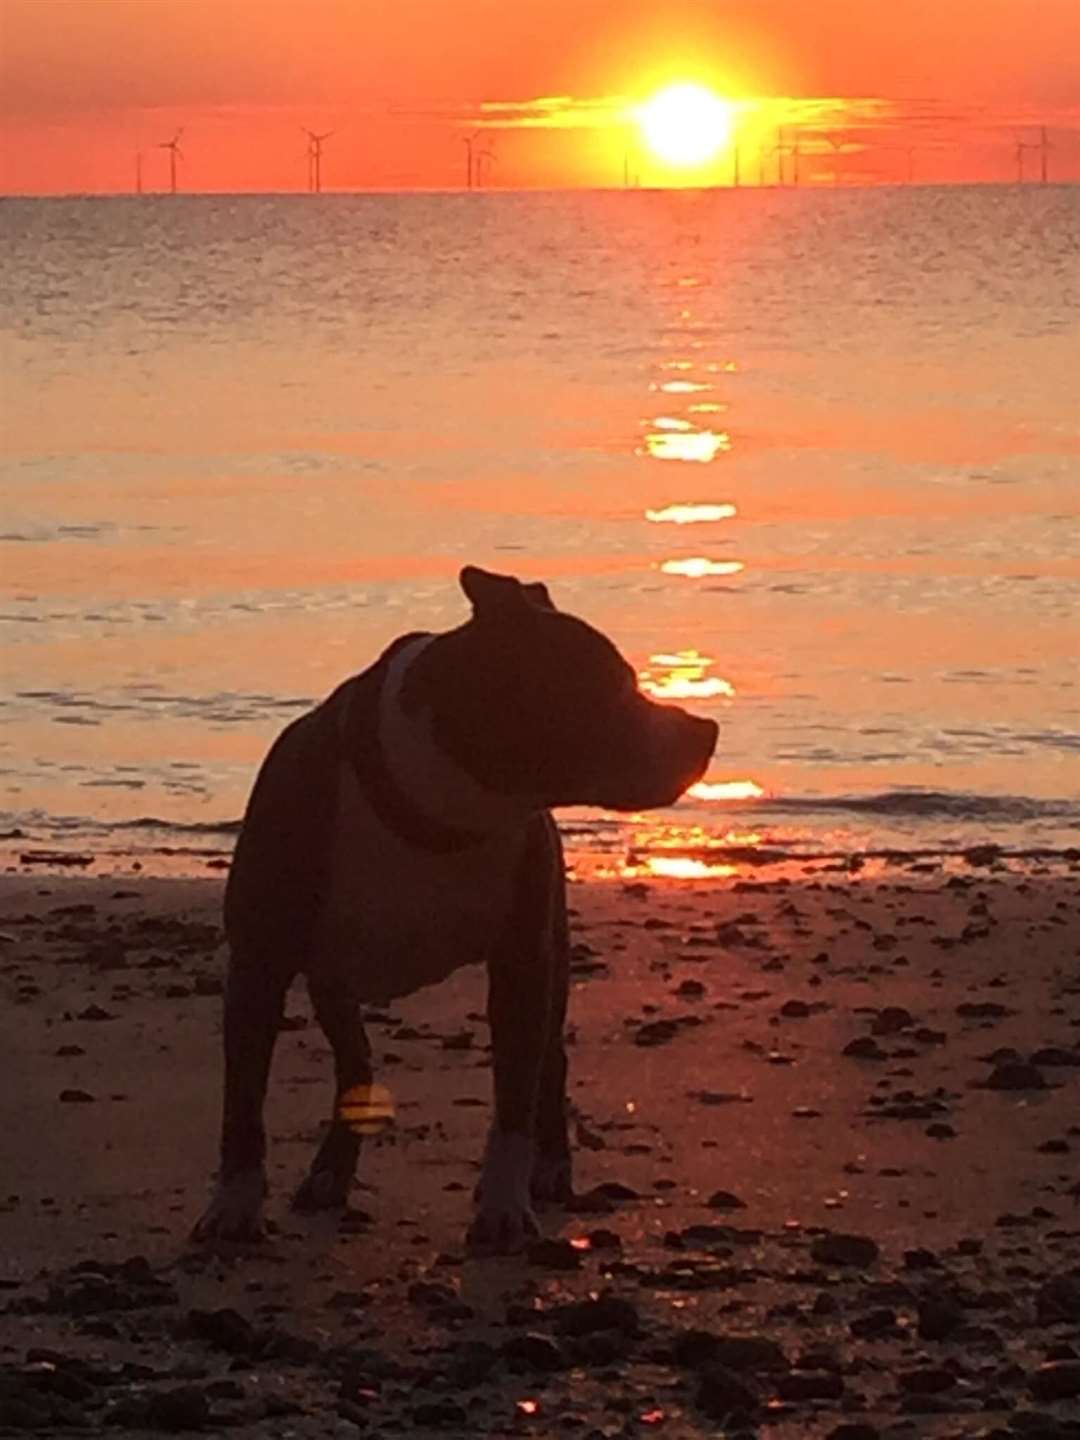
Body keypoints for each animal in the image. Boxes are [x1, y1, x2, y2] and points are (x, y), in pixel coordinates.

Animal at [194, 561, 720, 1249]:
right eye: (610, 688)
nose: (707, 731)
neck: (439, 811)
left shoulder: (524, 961)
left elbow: (514, 1097)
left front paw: (502, 1206)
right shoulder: (260, 963)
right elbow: (242, 1102)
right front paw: (234, 1204)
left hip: (551, 961)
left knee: (549, 1062)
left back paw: (551, 1166)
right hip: (332, 979)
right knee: (355, 1060)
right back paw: (332, 1172)